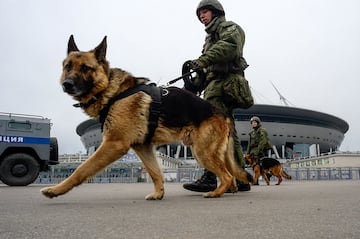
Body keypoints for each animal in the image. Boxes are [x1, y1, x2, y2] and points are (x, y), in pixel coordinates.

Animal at [40, 35, 253, 200]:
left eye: (85, 68)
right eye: (68, 66)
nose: (67, 84)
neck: (111, 91)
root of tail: (223, 114)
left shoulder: (113, 144)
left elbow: (82, 169)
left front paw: (55, 190)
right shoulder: (143, 147)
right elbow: (155, 172)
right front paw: (159, 194)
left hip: (201, 152)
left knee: (227, 175)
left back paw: (216, 193)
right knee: (231, 175)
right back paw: (229, 190)